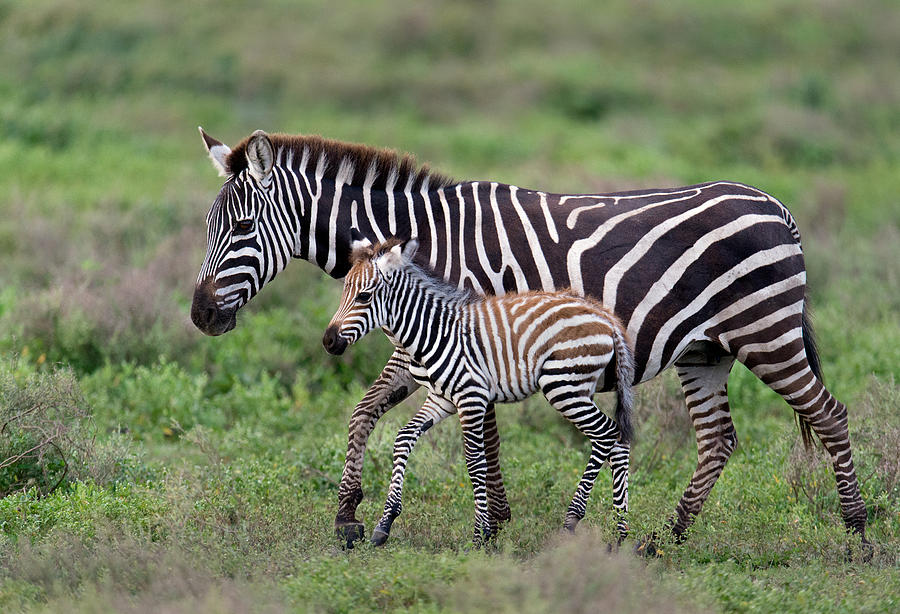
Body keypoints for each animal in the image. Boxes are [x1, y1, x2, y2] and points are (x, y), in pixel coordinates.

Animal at [324, 233, 632, 548]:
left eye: (363, 296)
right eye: (344, 290)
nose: (328, 341)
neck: (432, 332)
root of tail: (606, 317)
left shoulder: (470, 397)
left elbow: (475, 462)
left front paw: (479, 536)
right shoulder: (441, 398)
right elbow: (403, 438)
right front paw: (384, 524)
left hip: (564, 386)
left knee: (607, 433)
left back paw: (573, 520)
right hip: (580, 387)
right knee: (618, 440)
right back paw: (621, 532)